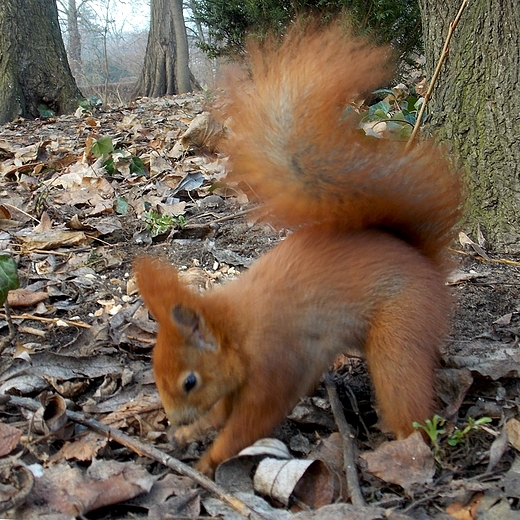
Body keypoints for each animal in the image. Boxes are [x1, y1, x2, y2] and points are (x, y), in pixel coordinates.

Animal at [133, 21, 460, 476]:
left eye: (190, 381)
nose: (173, 420)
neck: (238, 327)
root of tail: (421, 260)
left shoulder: (274, 364)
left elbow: (250, 422)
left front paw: (207, 462)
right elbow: (223, 413)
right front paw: (192, 432)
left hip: (401, 329)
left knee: (407, 396)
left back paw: (397, 445)